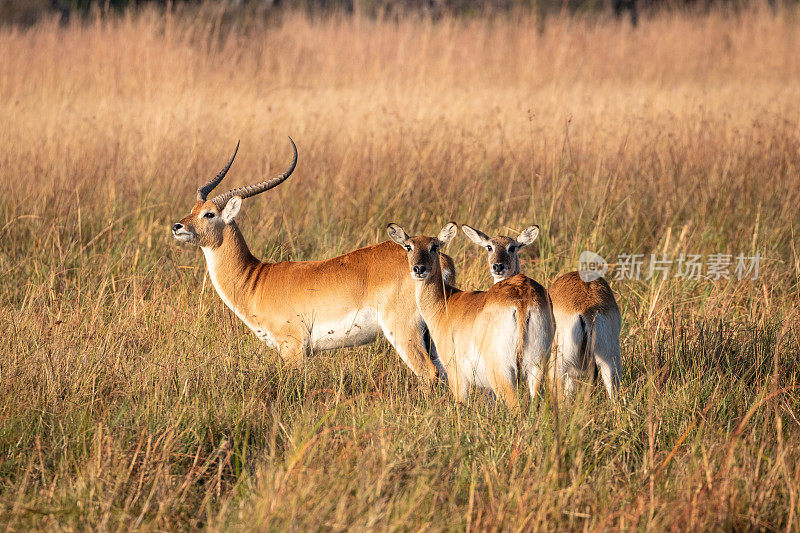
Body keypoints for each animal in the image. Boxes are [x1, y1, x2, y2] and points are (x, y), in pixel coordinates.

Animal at [171, 137, 454, 378]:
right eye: (193, 208)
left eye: (209, 214)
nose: (177, 227)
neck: (256, 280)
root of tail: (440, 261)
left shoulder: (293, 348)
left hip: (404, 331)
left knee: (429, 373)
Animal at [386, 222, 552, 410]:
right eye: (409, 246)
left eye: (434, 246)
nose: (419, 269)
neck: (445, 302)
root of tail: (521, 298)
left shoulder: (455, 372)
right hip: (537, 367)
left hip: (501, 371)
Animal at [462, 223, 624, 400]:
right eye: (489, 246)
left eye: (512, 247)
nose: (498, 266)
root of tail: (587, 308)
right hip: (609, 358)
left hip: (557, 365)